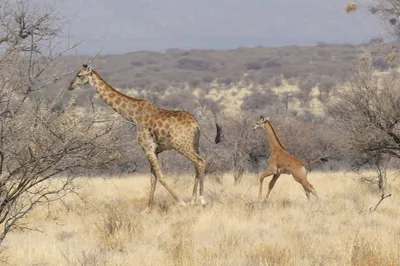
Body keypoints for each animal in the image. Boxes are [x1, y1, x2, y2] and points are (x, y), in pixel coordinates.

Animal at [67, 64, 220, 212]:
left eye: (79, 75)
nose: (70, 86)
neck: (134, 115)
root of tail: (196, 123)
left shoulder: (147, 149)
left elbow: (161, 177)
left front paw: (181, 203)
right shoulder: (154, 151)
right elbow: (153, 179)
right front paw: (147, 209)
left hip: (182, 145)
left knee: (200, 162)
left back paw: (201, 200)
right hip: (194, 144)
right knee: (196, 165)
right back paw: (193, 200)